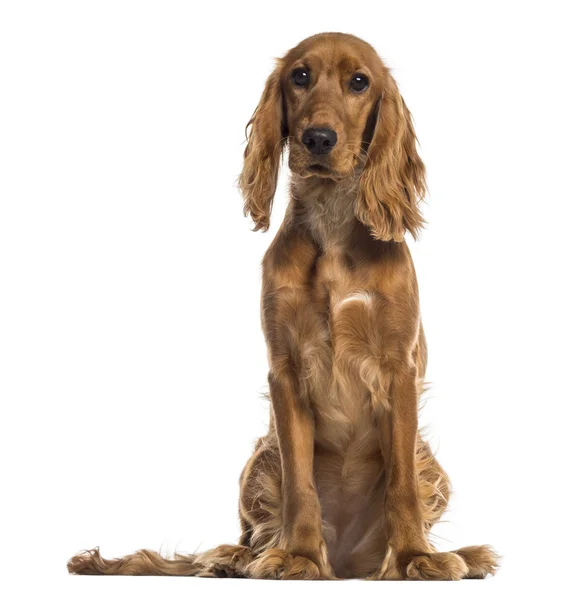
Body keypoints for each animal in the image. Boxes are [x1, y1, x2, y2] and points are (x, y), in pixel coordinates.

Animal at [67, 32, 496, 580]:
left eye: (360, 82)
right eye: (301, 76)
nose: (318, 139)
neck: (333, 223)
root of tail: (350, 564)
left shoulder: (398, 368)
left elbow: (401, 485)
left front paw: (414, 558)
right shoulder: (286, 370)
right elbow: (300, 483)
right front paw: (299, 555)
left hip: (431, 464)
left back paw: (461, 555)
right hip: (259, 457)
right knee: (252, 532)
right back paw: (236, 559)